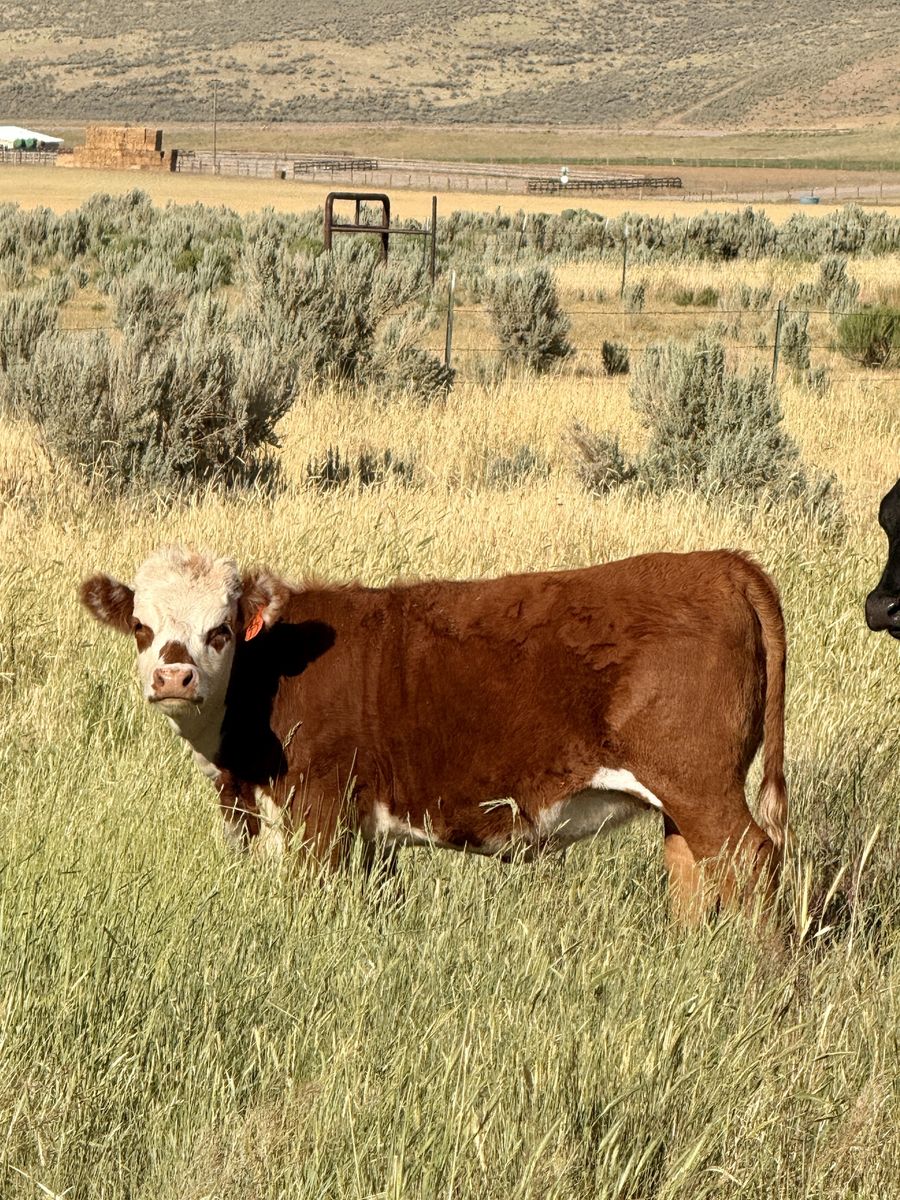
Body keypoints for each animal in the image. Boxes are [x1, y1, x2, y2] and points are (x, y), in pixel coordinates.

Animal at [80, 545, 787, 920]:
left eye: (221, 629)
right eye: (141, 627)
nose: (175, 676)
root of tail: (721, 564)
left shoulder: (320, 812)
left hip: (702, 786)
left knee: (752, 860)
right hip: (679, 798)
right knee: (694, 874)